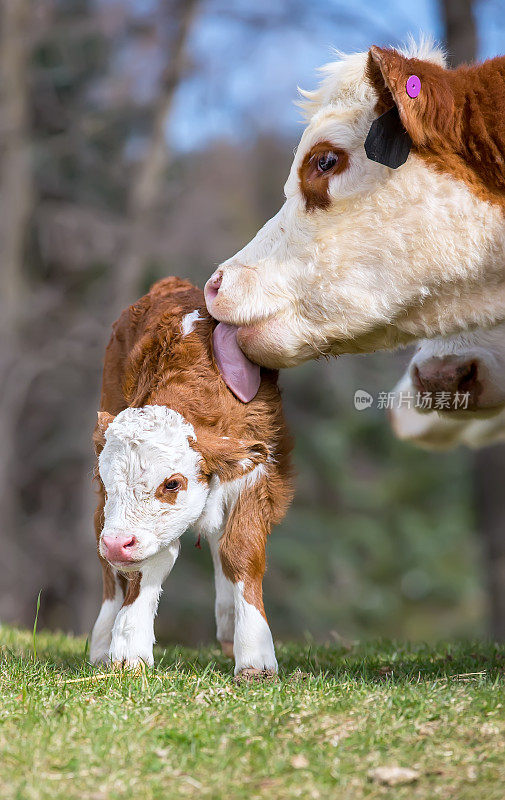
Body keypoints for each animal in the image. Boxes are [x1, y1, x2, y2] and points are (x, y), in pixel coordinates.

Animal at [89, 276, 292, 676]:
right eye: (105, 478)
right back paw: (102, 640)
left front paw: (255, 654)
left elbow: (240, 552)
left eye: (172, 482)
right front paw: (128, 648)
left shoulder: (257, 470)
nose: (116, 544)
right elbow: (148, 562)